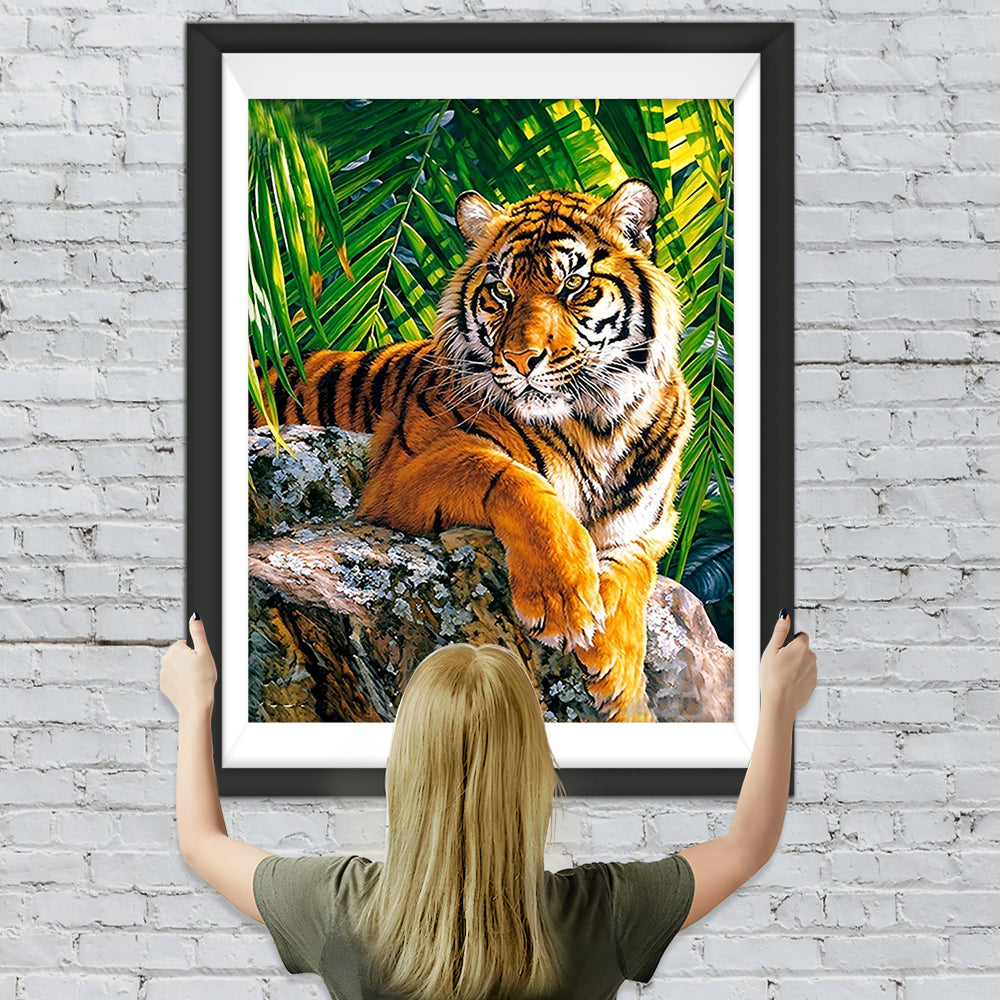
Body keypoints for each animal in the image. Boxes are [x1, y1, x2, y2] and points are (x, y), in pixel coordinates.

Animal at [250, 179, 695, 722]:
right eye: (502, 291)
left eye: (573, 286)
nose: (522, 359)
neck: (598, 422)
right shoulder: (402, 468)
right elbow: (517, 481)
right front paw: (563, 598)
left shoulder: (649, 528)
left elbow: (634, 571)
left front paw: (623, 682)